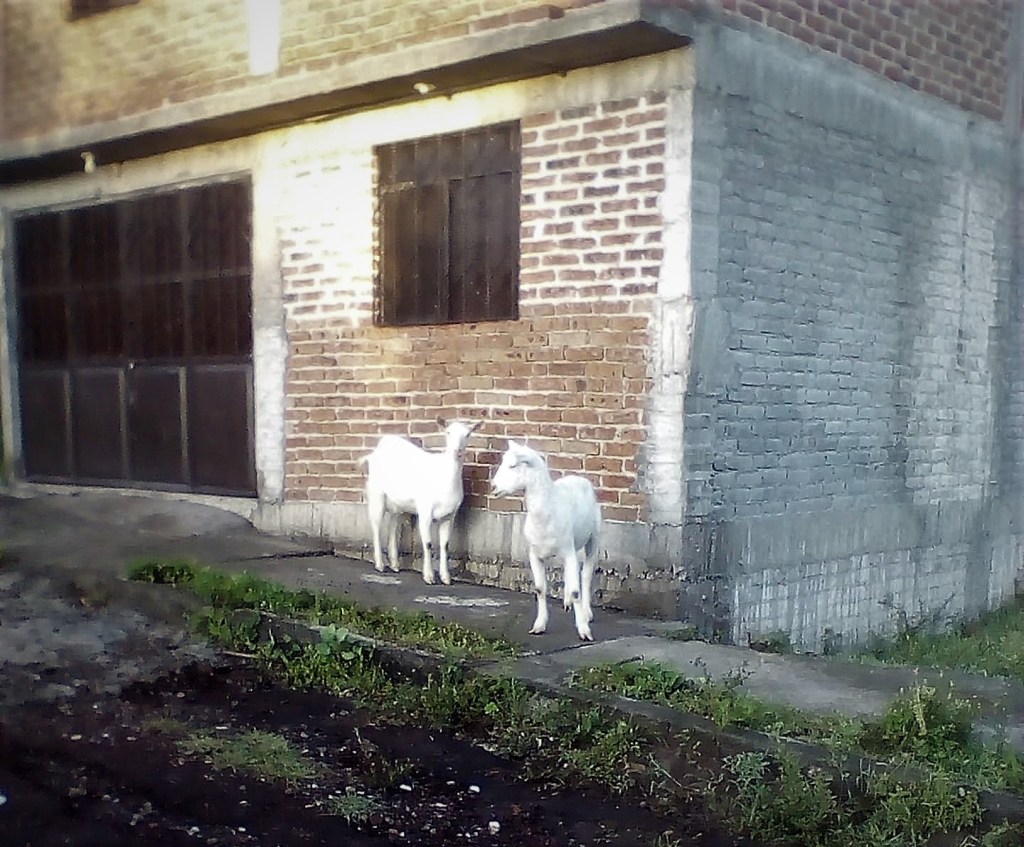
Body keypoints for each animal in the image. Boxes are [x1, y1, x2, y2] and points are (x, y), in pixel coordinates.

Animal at [361, 418, 483, 586]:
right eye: (448, 432)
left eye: (468, 434)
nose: (457, 451)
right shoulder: (425, 511)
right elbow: (428, 543)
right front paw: (429, 576)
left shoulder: (450, 516)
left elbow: (445, 545)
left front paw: (445, 577)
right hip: (376, 492)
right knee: (376, 526)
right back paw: (380, 564)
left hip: (397, 502)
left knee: (393, 525)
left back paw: (394, 564)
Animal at [491, 440, 601, 641]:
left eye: (513, 465)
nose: (493, 487)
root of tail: (577, 477)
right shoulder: (535, 554)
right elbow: (540, 589)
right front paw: (539, 626)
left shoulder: (569, 551)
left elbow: (576, 591)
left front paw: (584, 630)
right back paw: (567, 603)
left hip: (593, 539)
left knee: (586, 575)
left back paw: (586, 613)